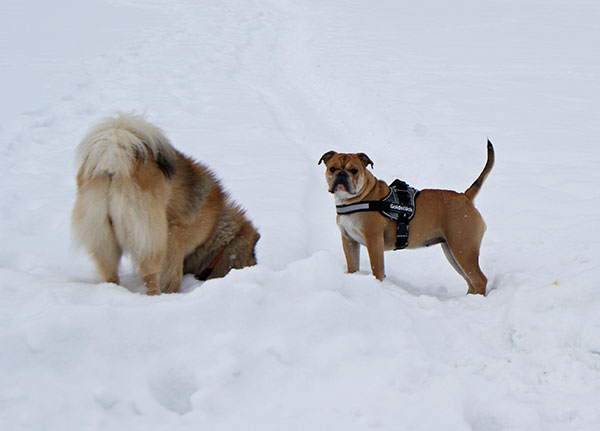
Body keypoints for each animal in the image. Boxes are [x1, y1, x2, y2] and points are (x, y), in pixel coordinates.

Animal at [71, 113, 258, 296]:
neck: (216, 227)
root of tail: (113, 159)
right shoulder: (176, 238)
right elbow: (171, 275)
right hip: (151, 236)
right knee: (150, 275)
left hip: (104, 238)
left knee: (110, 274)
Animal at [316, 143, 494, 296]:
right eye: (332, 168)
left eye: (354, 170)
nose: (341, 174)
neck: (356, 198)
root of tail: (465, 197)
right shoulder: (349, 241)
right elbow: (352, 266)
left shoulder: (373, 240)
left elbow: (377, 269)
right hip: (453, 251)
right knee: (470, 281)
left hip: (463, 248)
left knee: (479, 280)